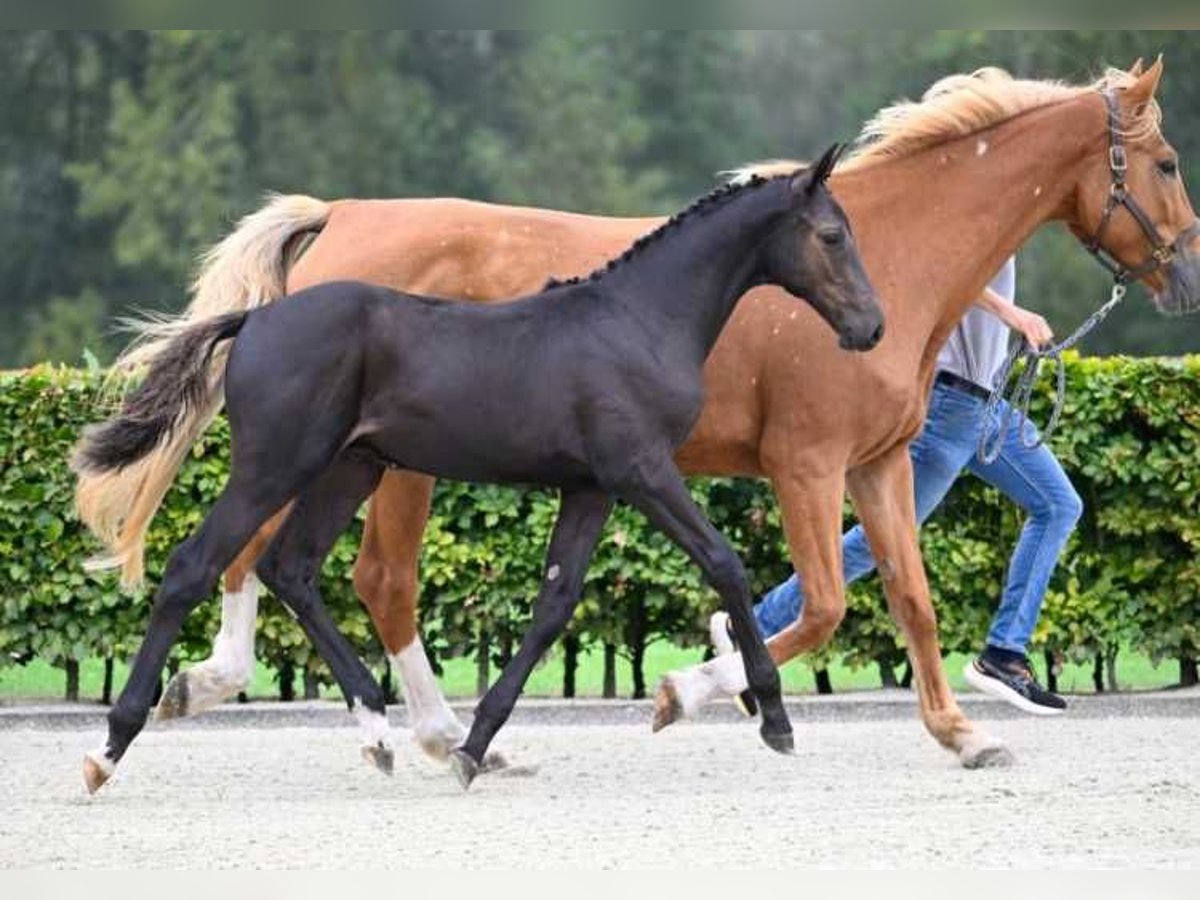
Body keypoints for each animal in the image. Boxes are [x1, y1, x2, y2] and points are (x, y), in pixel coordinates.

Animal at [75, 144, 883, 792]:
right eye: (832, 234)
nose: (871, 327)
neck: (638, 319)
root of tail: (255, 319)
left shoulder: (589, 489)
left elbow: (554, 605)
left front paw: (474, 746)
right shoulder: (642, 470)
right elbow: (726, 564)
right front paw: (774, 718)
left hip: (350, 468)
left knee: (291, 567)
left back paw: (378, 729)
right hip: (277, 466)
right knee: (196, 566)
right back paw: (108, 749)